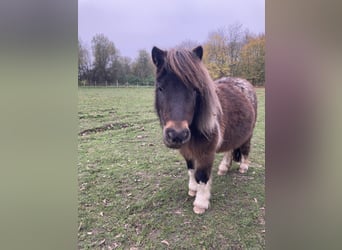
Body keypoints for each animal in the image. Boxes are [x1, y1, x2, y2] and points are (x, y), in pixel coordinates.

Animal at [150, 46, 256, 214]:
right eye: (160, 88)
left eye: (195, 90)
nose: (177, 135)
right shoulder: (187, 150)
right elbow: (191, 169)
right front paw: (193, 189)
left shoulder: (206, 152)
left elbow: (201, 175)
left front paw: (200, 203)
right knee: (230, 150)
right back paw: (223, 168)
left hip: (248, 134)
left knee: (245, 149)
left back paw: (244, 167)